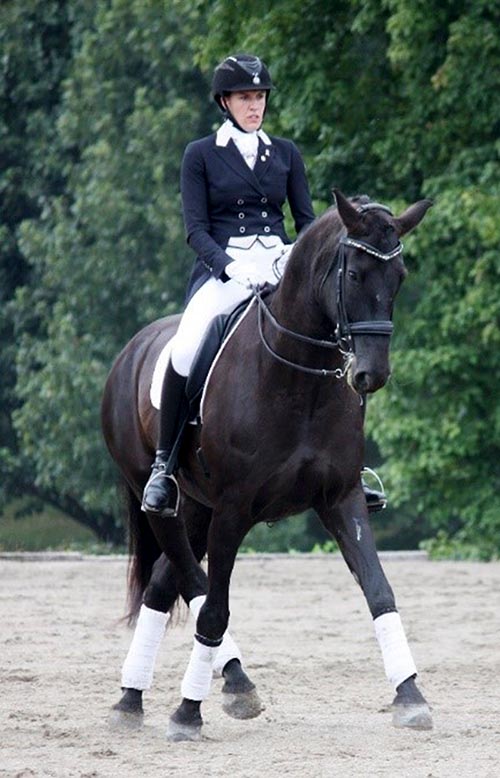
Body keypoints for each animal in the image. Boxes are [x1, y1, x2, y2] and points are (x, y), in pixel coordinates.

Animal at [102, 190, 433, 740]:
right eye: (354, 274)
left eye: (400, 276)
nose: (372, 374)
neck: (299, 377)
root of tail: (132, 349)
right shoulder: (235, 508)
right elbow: (213, 609)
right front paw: (188, 713)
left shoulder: (341, 498)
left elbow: (379, 591)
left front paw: (410, 696)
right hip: (167, 503)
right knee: (191, 582)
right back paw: (226, 686)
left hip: (198, 508)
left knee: (163, 584)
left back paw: (135, 696)